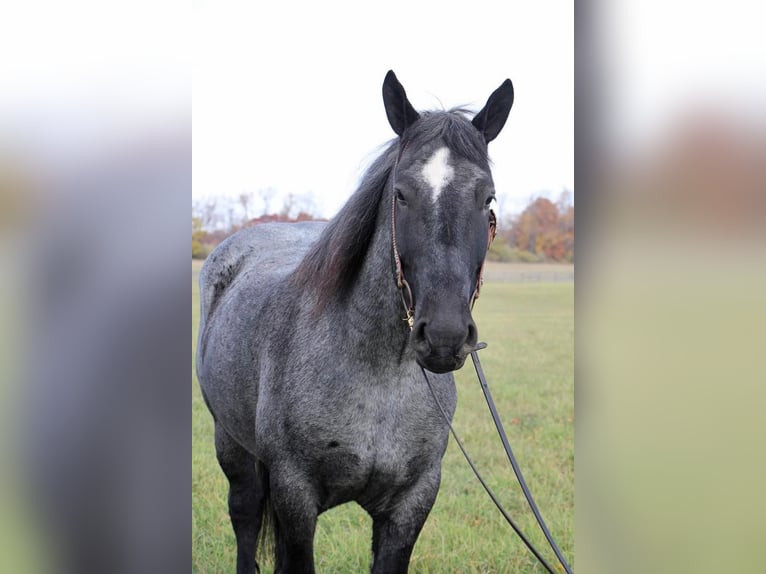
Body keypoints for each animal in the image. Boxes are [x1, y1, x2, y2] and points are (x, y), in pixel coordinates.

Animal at [196, 72, 516, 574]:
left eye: (488, 197)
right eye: (401, 193)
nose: (443, 336)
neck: (380, 378)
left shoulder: (410, 504)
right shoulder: (295, 498)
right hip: (231, 445)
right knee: (244, 516)